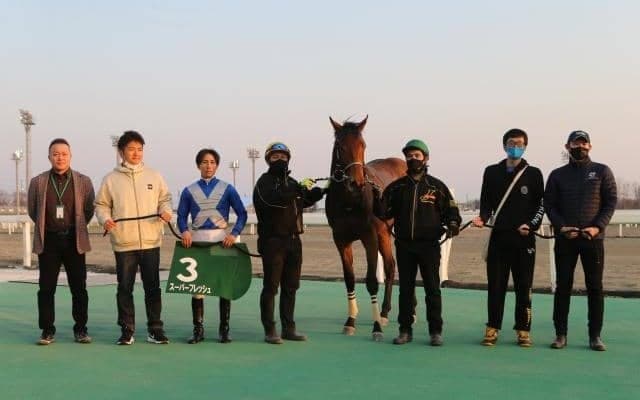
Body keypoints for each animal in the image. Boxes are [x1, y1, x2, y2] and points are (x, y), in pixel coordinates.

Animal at [324, 116, 407, 341]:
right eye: (340, 146)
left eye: (363, 145)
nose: (357, 183)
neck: (349, 201)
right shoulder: (340, 239)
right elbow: (350, 279)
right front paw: (350, 321)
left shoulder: (369, 236)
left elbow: (371, 281)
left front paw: (376, 327)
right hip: (384, 233)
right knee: (390, 265)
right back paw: (385, 312)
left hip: (389, 232)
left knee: (391, 266)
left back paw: (392, 314)